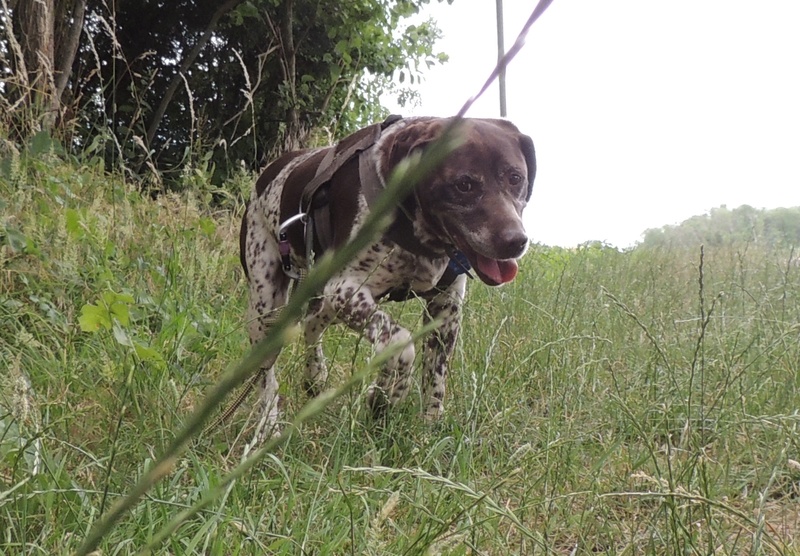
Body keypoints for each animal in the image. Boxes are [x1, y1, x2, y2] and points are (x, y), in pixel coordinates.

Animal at [239, 117, 536, 436]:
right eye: (464, 184)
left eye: (515, 178)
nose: (515, 241)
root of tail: (269, 171)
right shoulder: (346, 289)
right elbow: (401, 343)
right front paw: (385, 397)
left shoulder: (445, 309)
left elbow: (435, 378)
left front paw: (428, 428)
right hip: (266, 306)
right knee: (265, 373)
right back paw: (268, 425)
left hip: (325, 301)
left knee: (310, 325)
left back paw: (315, 375)